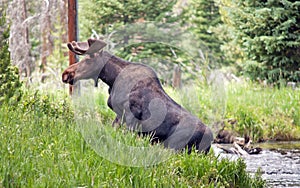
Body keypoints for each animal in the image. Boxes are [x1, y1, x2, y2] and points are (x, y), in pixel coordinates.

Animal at [62, 38, 213, 154]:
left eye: (88, 60)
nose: (66, 73)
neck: (112, 78)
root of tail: (211, 140)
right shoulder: (119, 115)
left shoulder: (131, 114)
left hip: (175, 147)